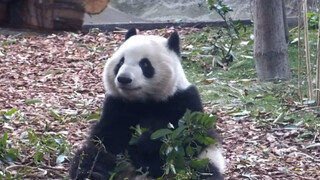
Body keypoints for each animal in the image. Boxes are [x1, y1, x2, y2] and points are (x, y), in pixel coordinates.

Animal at [69, 28, 225, 179]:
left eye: (145, 64)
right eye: (121, 62)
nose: (124, 79)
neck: (144, 102)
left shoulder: (184, 102)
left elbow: (189, 138)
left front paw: (146, 140)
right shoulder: (116, 106)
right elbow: (106, 137)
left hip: (203, 160)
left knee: (202, 170)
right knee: (90, 156)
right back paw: (94, 173)